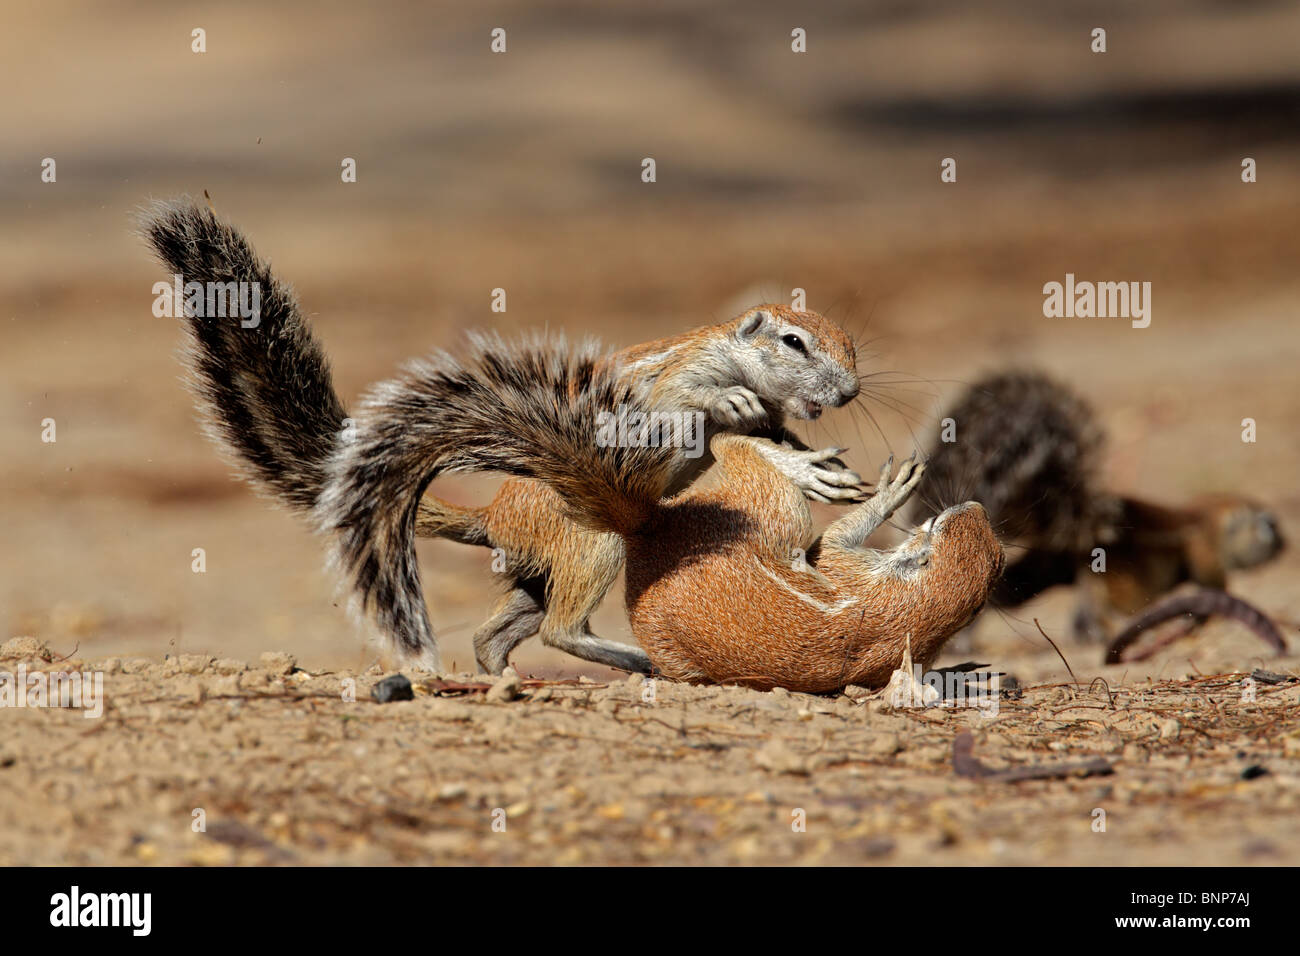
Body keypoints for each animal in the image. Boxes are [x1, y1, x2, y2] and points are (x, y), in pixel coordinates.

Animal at [909, 369, 1284, 639]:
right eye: (1269, 524)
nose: (1284, 544)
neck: (1210, 516)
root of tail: (1085, 523)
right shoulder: (1203, 550)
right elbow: (1213, 580)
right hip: (1118, 577)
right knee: (1111, 604)